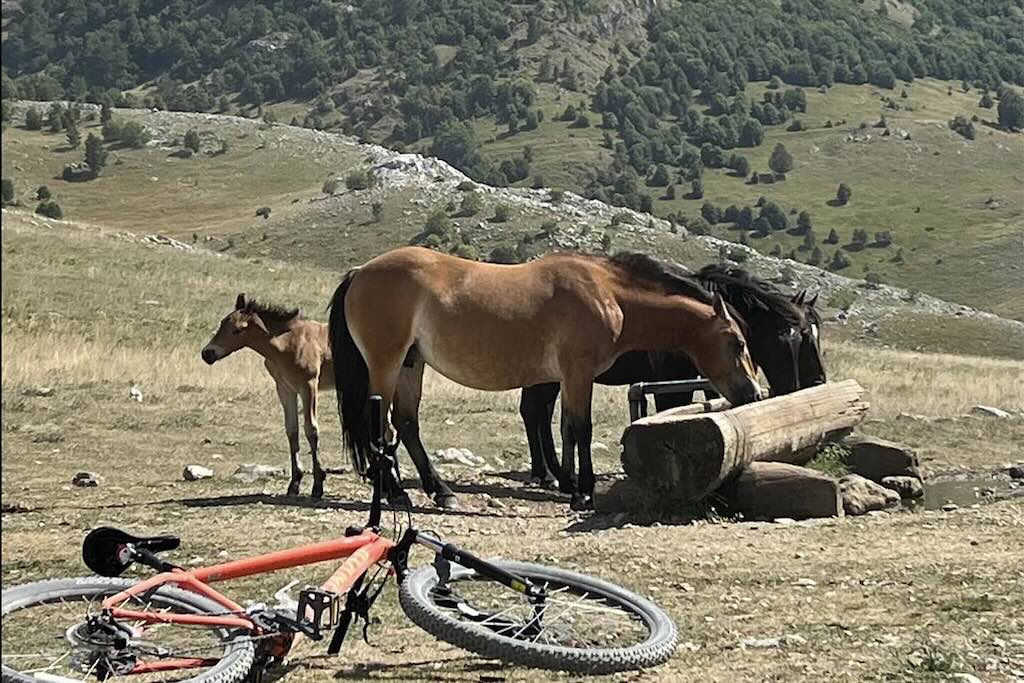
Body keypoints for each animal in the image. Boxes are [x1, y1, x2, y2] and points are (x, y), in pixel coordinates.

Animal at [327, 245, 761, 507]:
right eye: (738, 343)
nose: (754, 393)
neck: (608, 294)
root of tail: (360, 272)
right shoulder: (578, 373)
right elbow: (581, 428)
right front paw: (583, 491)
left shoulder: (567, 378)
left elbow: (566, 427)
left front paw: (567, 482)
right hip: (386, 365)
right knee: (379, 426)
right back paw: (396, 492)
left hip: (410, 365)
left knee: (406, 423)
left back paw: (441, 491)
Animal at [520, 262, 823, 491]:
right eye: (786, 338)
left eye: (807, 336)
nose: (810, 384)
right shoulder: (674, 382)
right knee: (535, 412)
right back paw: (550, 475)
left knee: (538, 412)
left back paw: (552, 473)